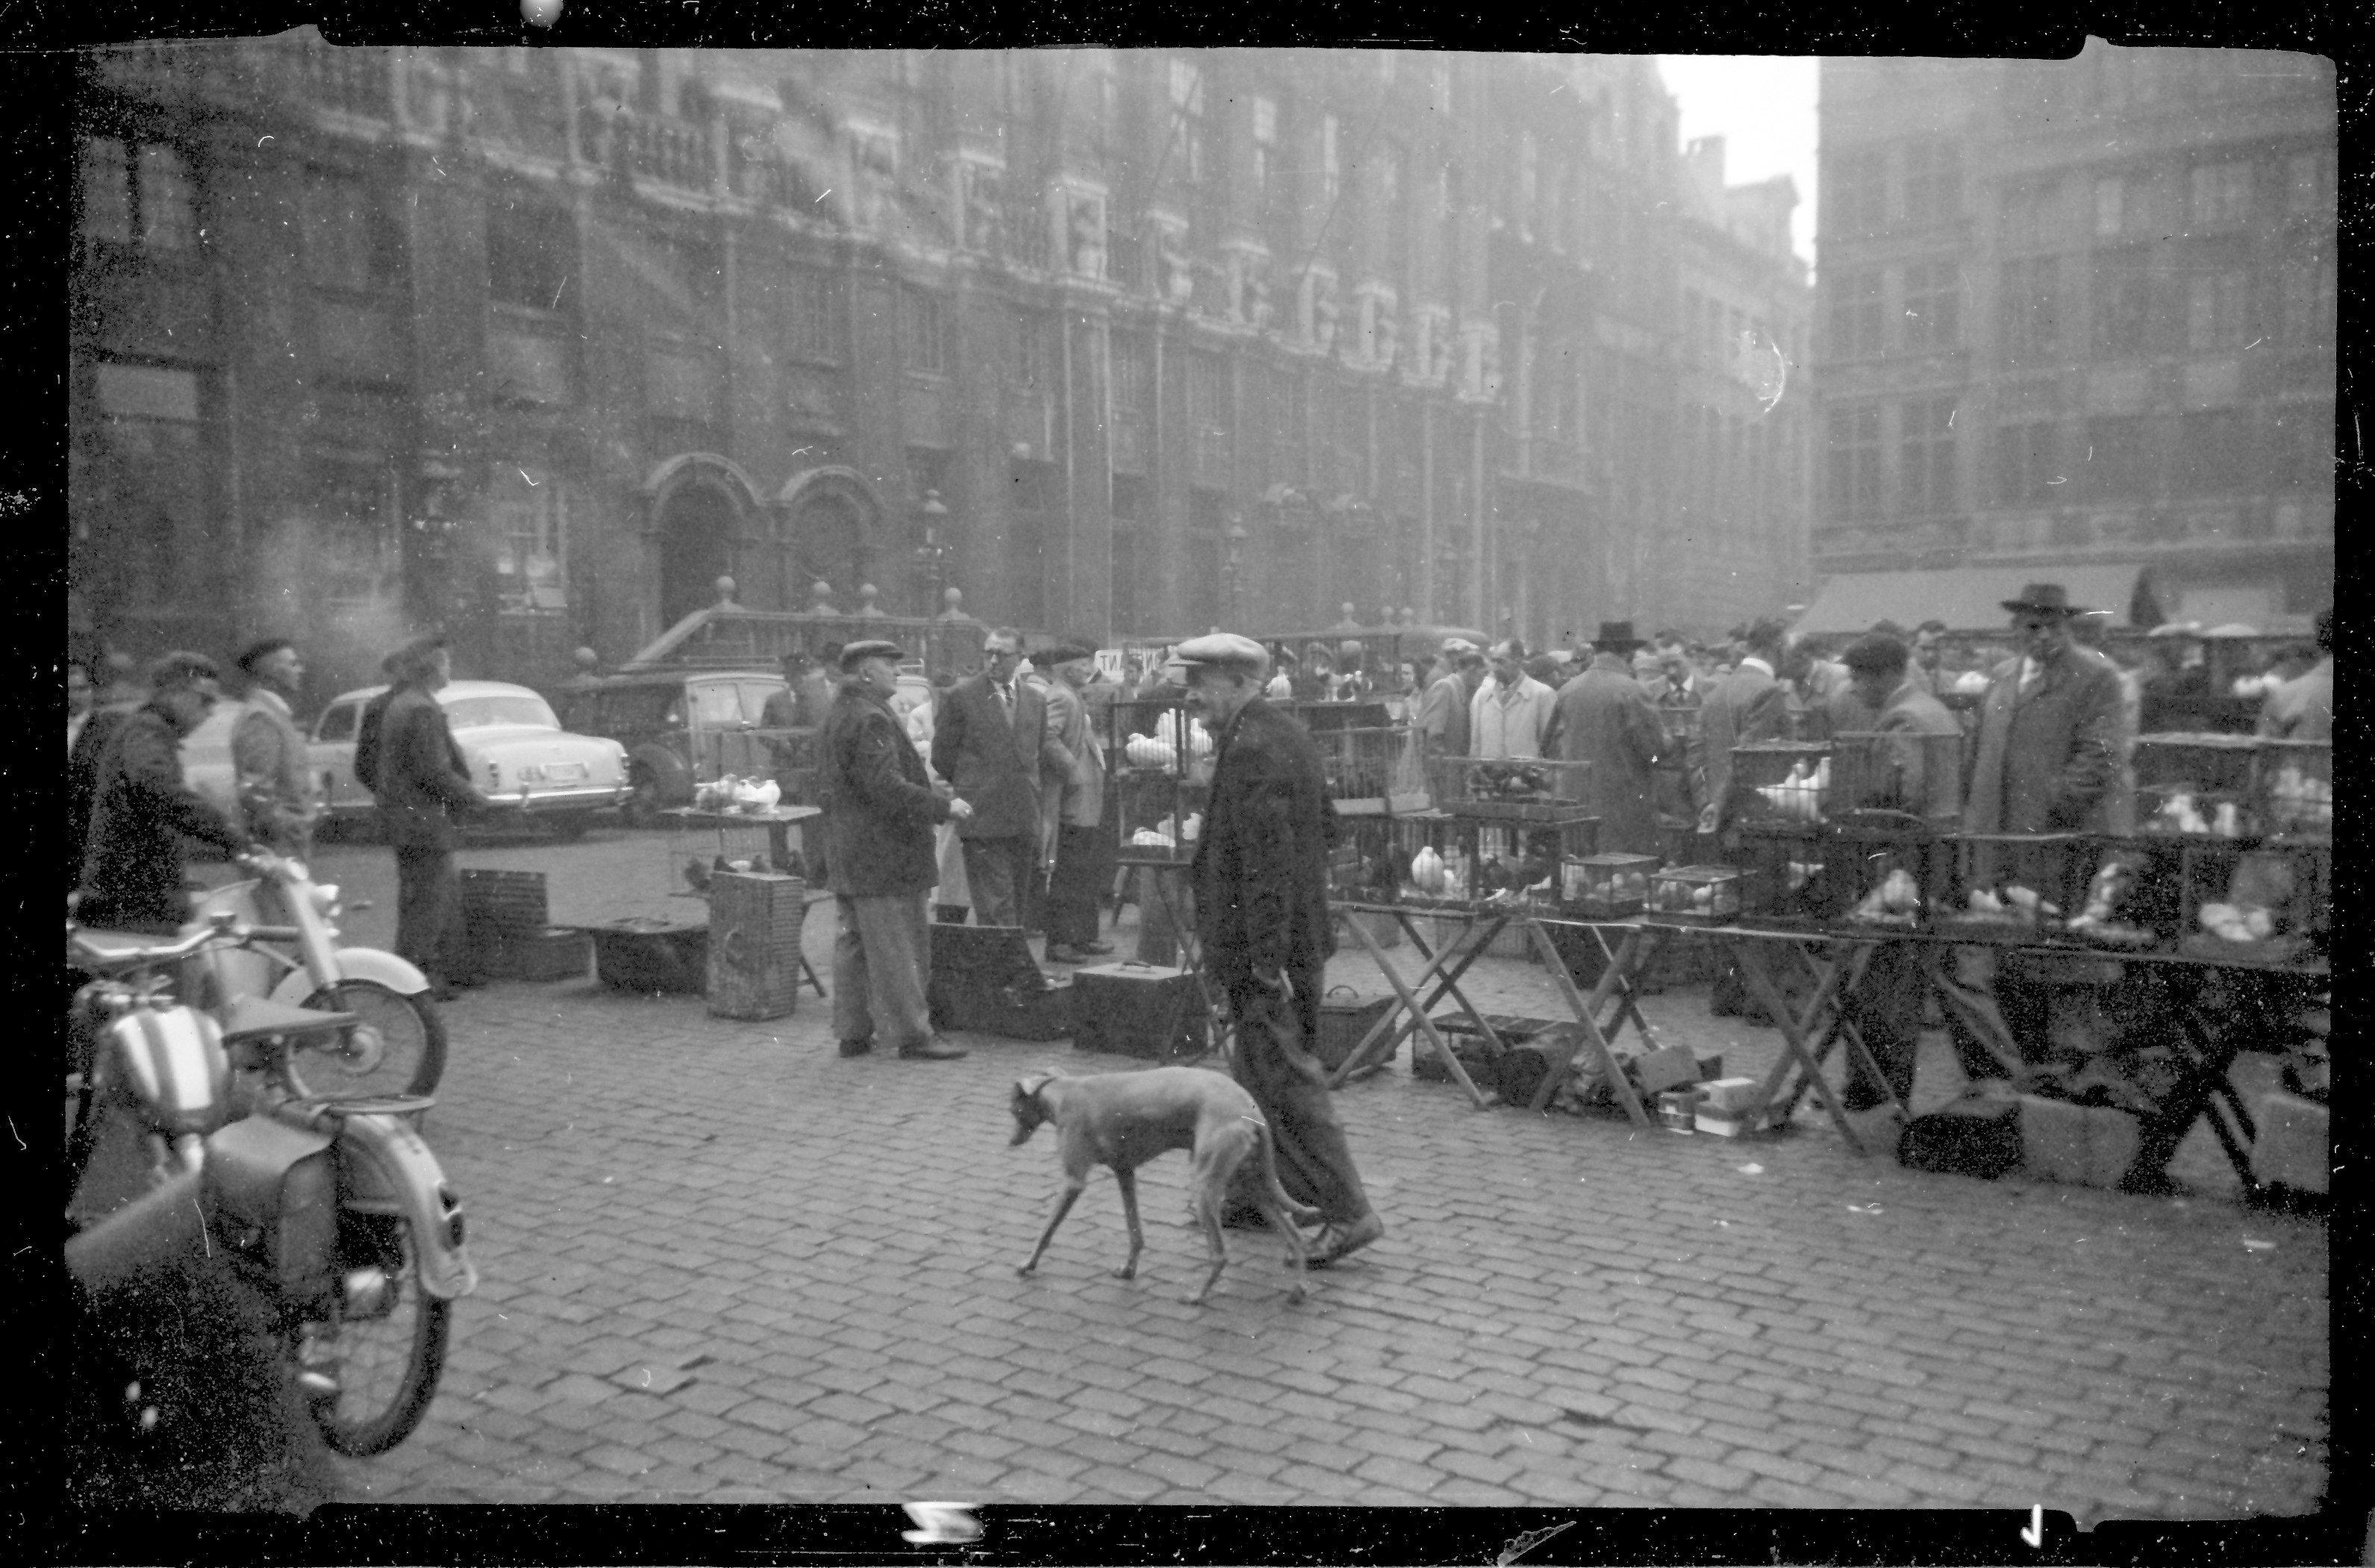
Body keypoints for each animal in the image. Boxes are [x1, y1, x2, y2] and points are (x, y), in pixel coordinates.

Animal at [1011, 1064, 1329, 1302]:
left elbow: (1046, 1231)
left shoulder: (1073, 1181)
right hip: (1252, 1185)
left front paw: (1028, 1264)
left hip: (1204, 1186)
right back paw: (1298, 1288)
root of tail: (1251, 1110)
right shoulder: (1125, 1173)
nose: (1011, 1142)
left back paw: (1198, 1296)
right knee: (1294, 1235)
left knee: (1220, 1254)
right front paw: (1128, 1270)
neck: (1064, 1090)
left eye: (1013, 1110)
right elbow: (1135, 1233)